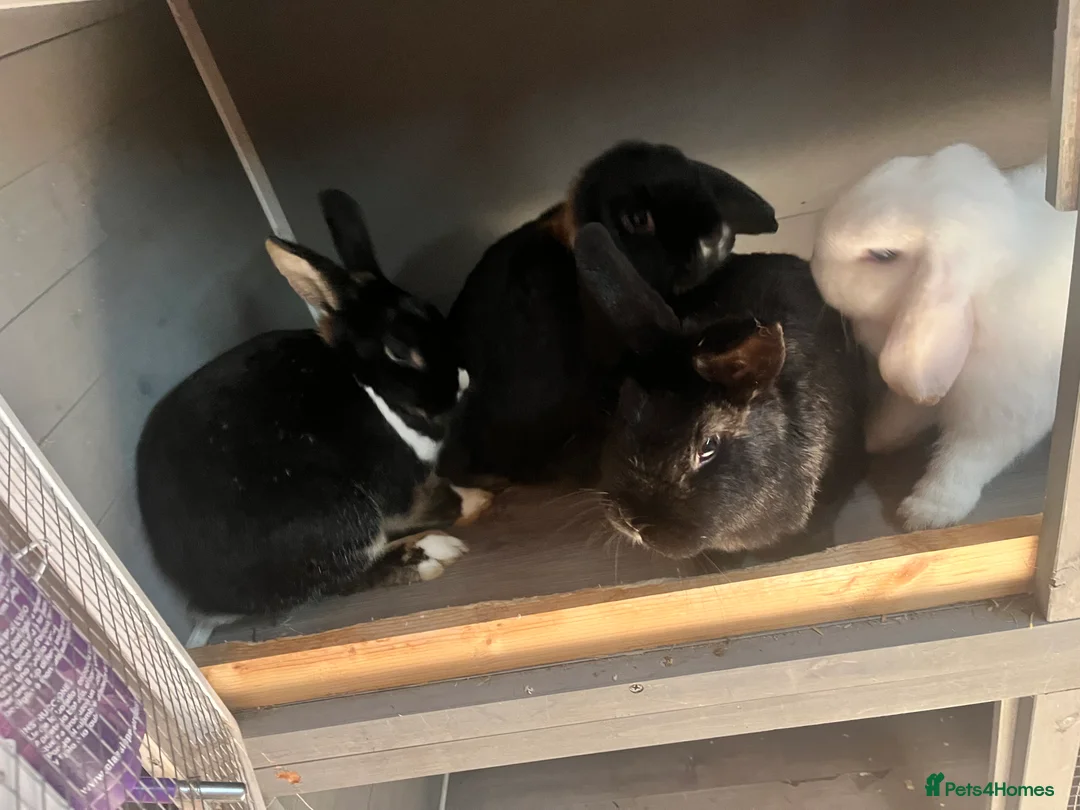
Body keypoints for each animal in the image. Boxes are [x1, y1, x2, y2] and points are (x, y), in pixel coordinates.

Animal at [136, 189, 492, 627]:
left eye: (432, 311)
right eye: (397, 351)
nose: (462, 380)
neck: (366, 384)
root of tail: (207, 593)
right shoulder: (402, 486)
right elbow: (442, 499)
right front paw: (480, 499)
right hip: (342, 517)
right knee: (344, 577)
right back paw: (434, 553)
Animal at [811, 143, 1075, 530]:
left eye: (883, 255)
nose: (814, 266)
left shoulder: (1000, 418)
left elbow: (963, 461)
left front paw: (925, 513)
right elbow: (902, 411)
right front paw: (874, 436)